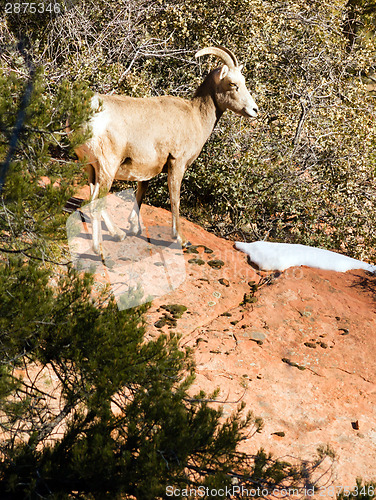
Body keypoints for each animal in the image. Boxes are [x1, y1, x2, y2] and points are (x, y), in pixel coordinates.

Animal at [72, 46, 258, 258]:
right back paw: (101, 251)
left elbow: (141, 193)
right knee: (96, 205)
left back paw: (118, 235)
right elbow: (175, 199)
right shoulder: (177, 164)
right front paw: (181, 239)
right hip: (107, 168)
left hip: (91, 169)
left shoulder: (146, 171)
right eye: (233, 84)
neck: (195, 117)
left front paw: (134, 228)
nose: (254, 110)